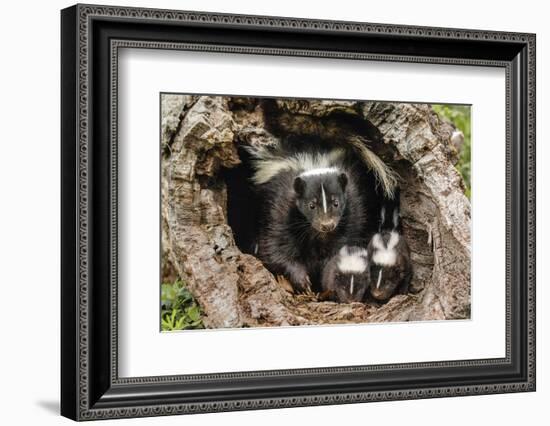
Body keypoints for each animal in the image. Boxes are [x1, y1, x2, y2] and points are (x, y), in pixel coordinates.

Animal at [249, 140, 396, 292]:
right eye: (311, 205)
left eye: (336, 203)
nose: (327, 225)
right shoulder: (281, 207)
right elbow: (277, 248)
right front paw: (301, 279)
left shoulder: (354, 206)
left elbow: (347, 241)